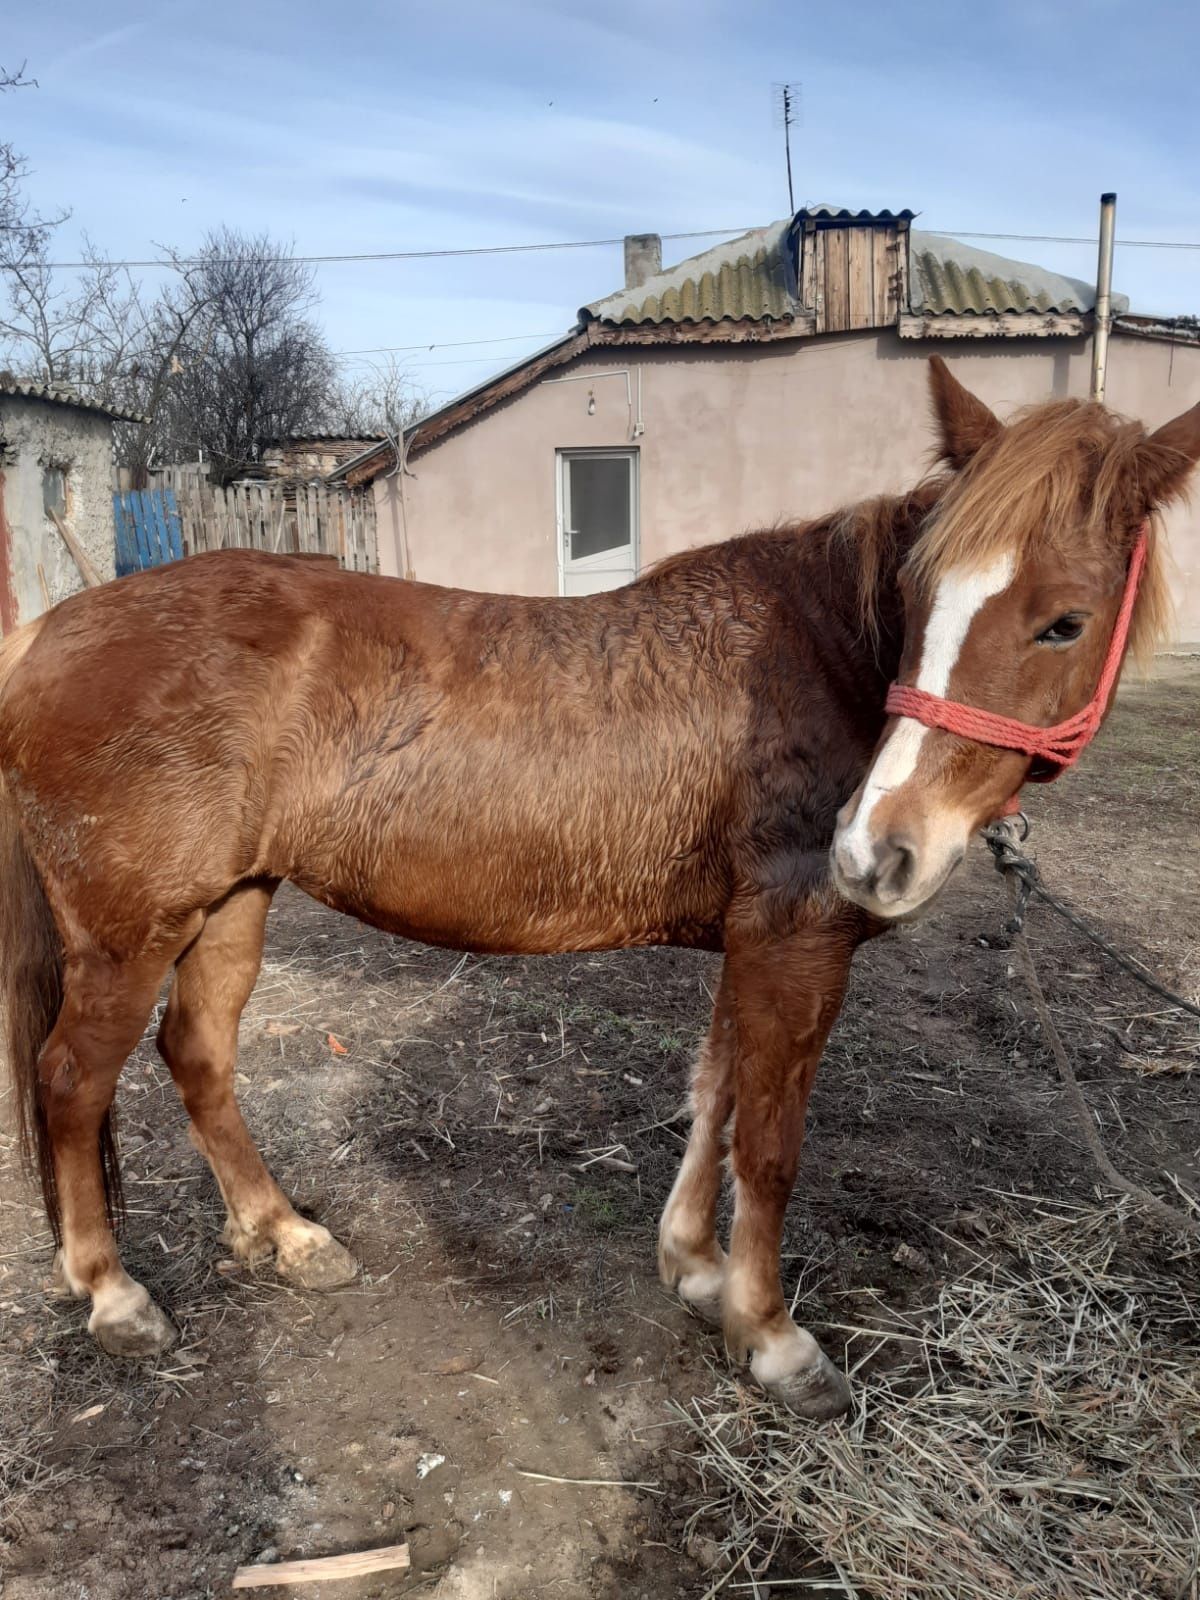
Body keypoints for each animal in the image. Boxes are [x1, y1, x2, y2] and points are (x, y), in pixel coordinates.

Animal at [0, 360, 1196, 1414]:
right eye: (914, 595)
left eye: (1064, 620)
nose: (874, 852)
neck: (817, 655)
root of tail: (45, 634)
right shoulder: (796, 941)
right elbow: (769, 1140)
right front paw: (772, 1336)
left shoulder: (751, 943)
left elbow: (715, 1096)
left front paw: (696, 1269)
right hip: (128, 935)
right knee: (71, 1080)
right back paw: (113, 1293)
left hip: (231, 903)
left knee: (197, 1055)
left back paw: (283, 1234)